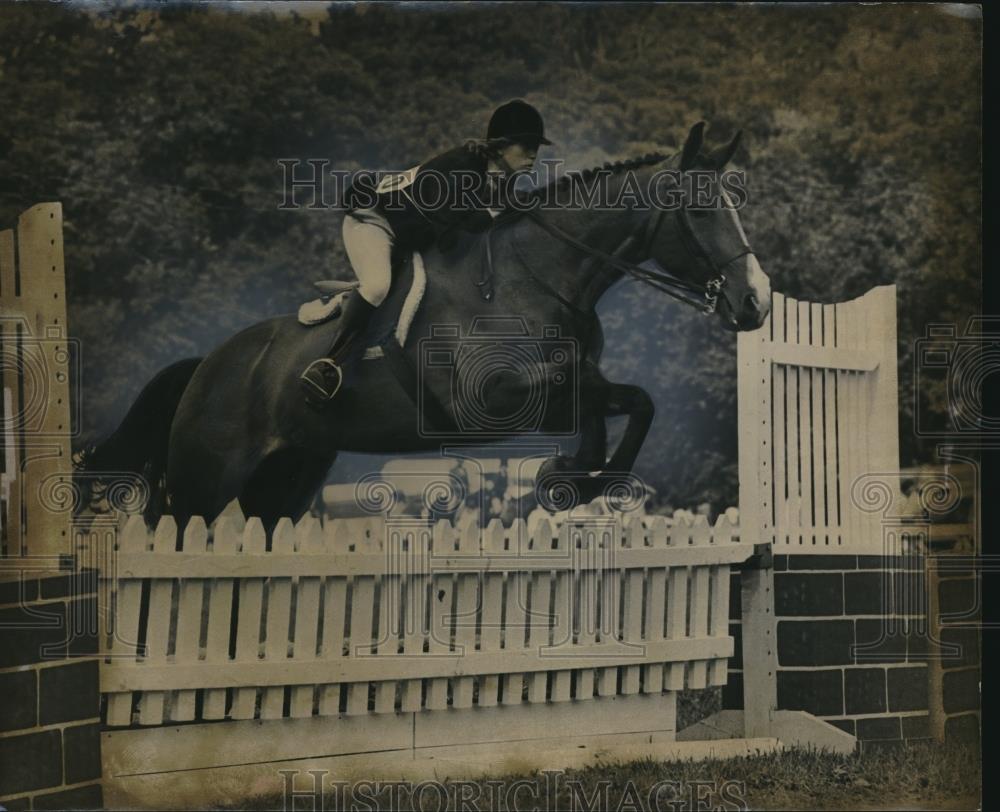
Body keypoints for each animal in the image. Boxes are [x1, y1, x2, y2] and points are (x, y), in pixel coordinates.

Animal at [80, 119, 772, 528]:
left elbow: (634, 401)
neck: (537, 276)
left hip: (288, 478)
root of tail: (209, 364)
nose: (756, 302)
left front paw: (576, 480)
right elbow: (585, 392)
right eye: (700, 209)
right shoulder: (491, 397)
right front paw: (569, 476)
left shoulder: (577, 384)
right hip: (205, 480)